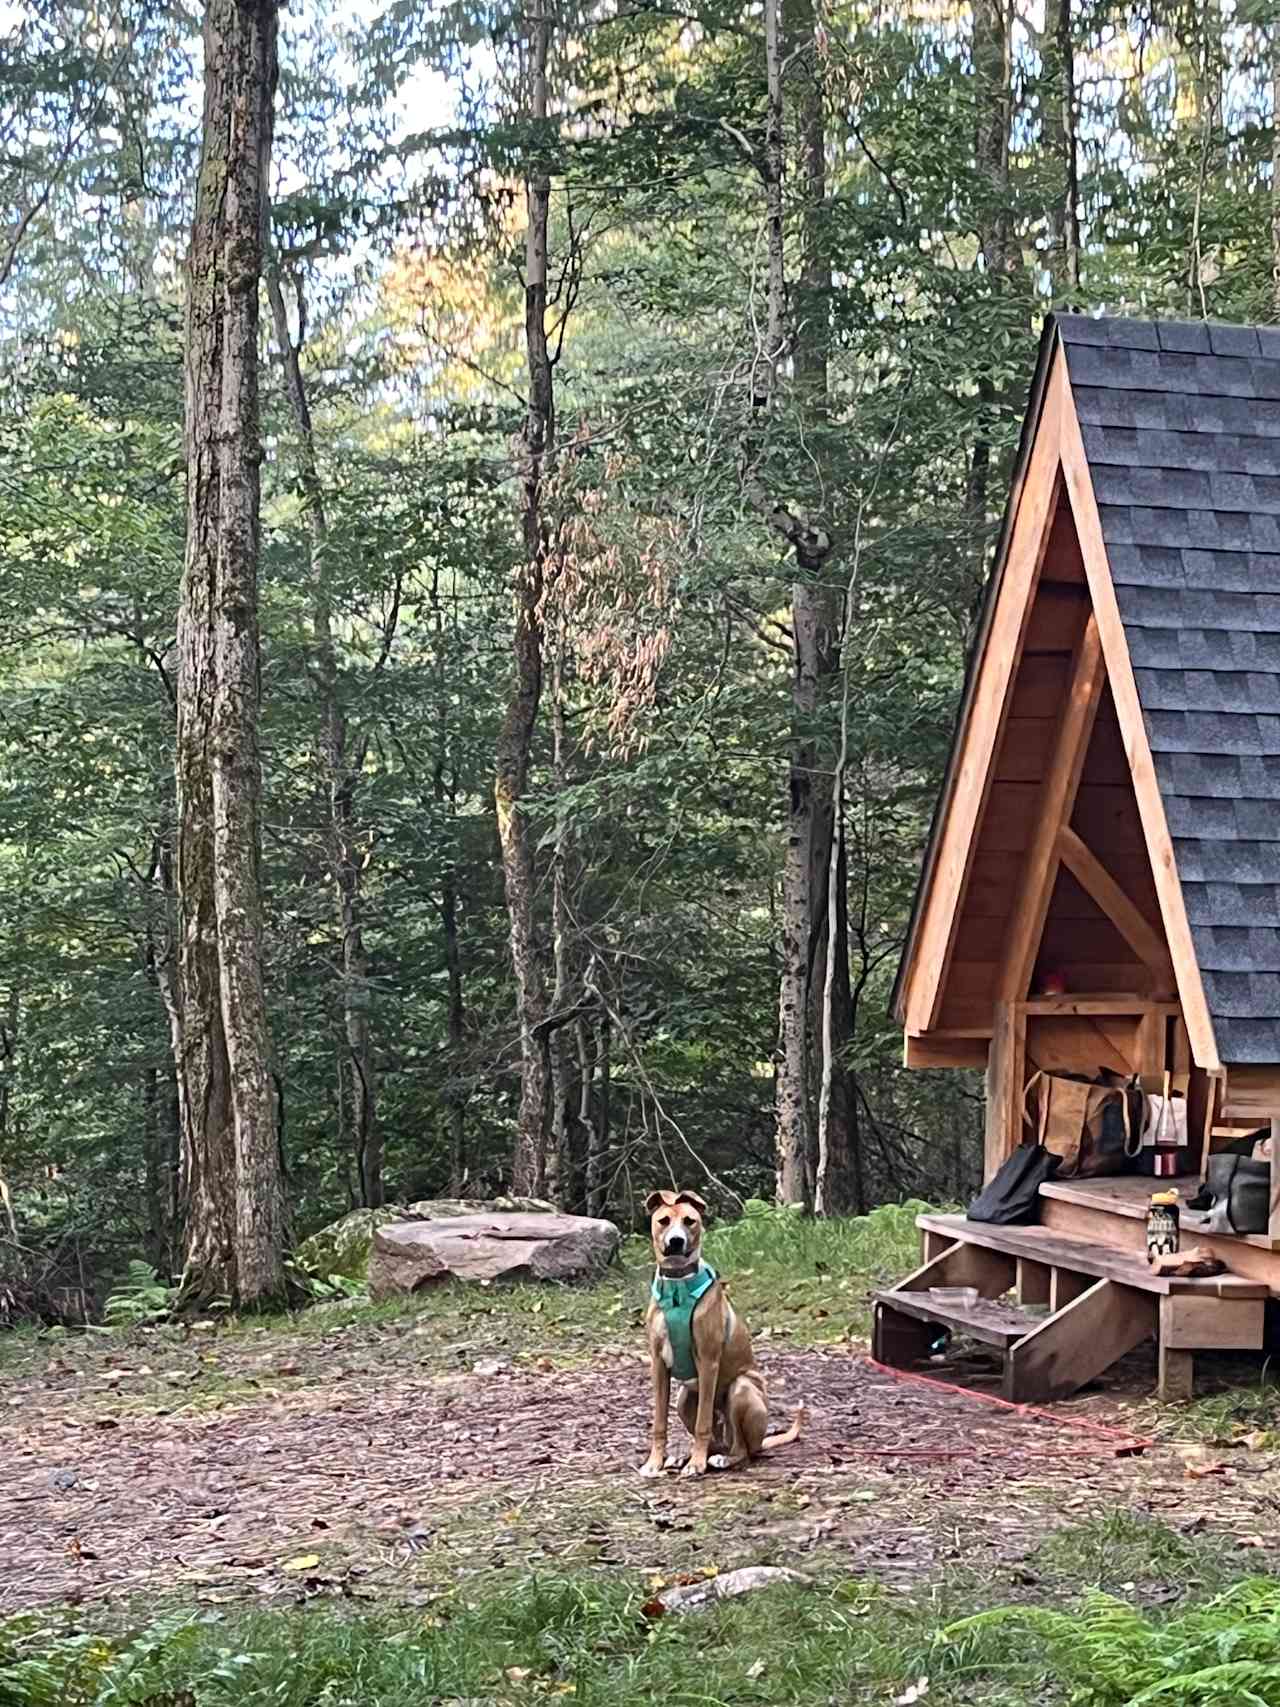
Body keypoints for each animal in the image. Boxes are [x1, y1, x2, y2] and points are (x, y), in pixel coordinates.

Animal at [641, 1188, 812, 1481]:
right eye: (664, 1221)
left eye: (690, 1221)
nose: (676, 1241)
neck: (677, 1290)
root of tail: (762, 1440)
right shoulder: (659, 1365)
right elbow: (659, 1422)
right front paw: (655, 1462)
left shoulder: (708, 1361)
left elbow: (703, 1423)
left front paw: (696, 1465)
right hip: (685, 1398)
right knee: (718, 1440)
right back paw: (685, 1457)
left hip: (741, 1389)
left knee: (742, 1449)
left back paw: (717, 1459)